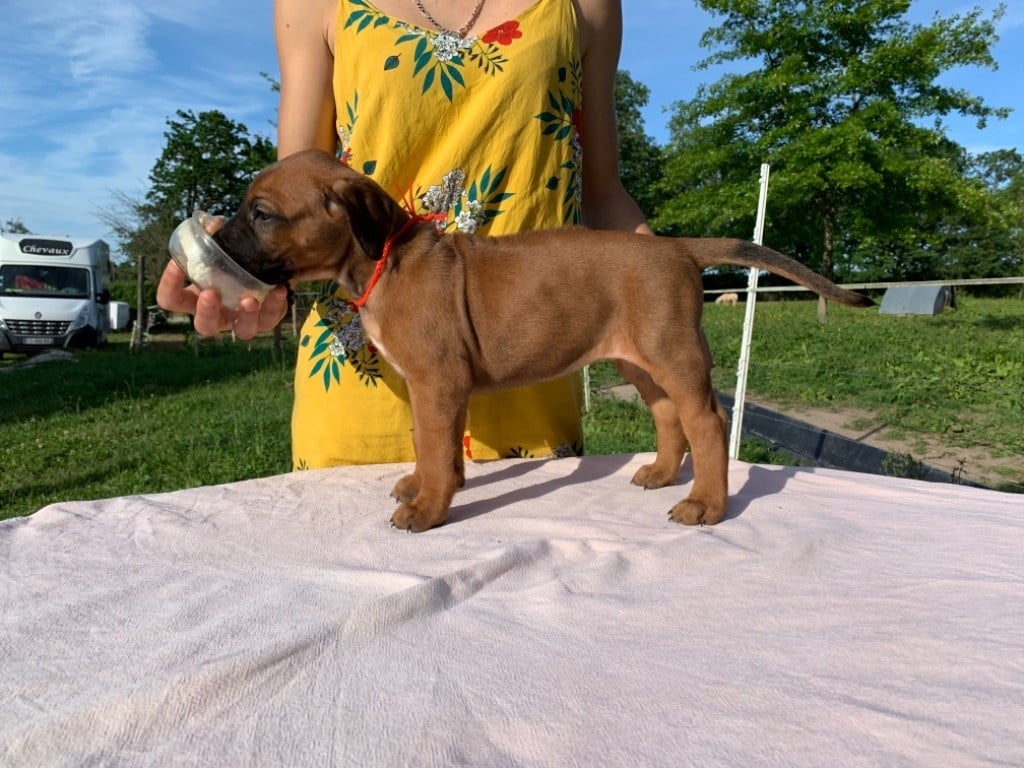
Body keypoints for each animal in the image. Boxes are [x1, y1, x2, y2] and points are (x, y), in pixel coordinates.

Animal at [213, 149, 872, 532]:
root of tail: (677, 248)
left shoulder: (436, 382)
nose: (215, 242)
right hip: (638, 360)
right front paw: (430, 487)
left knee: (706, 421)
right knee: (669, 417)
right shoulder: (438, 389)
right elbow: (434, 446)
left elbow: (433, 446)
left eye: (262, 214)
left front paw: (428, 508)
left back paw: (706, 504)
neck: (385, 258)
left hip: (673, 354)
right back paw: (662, 474)